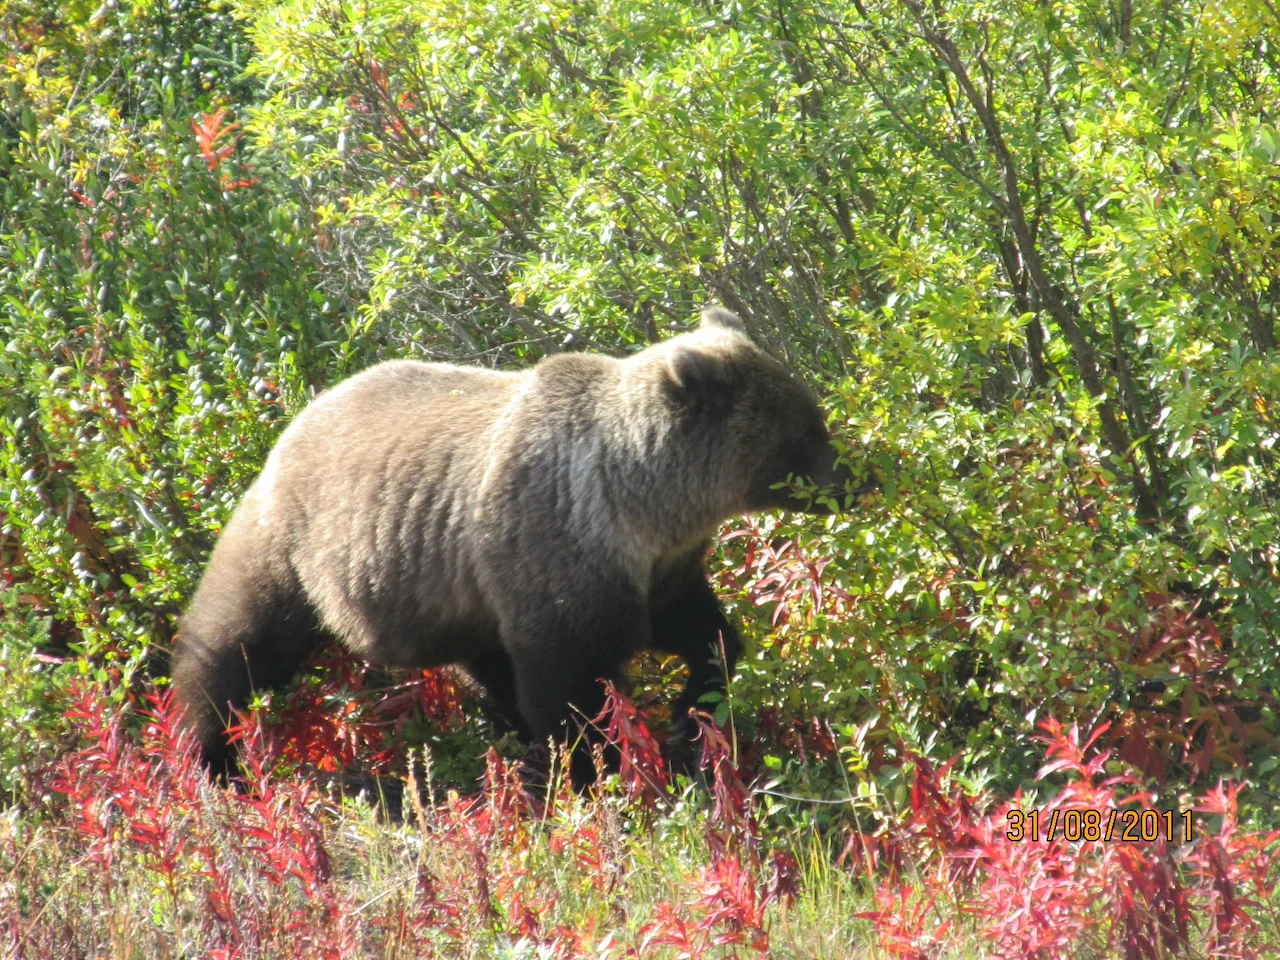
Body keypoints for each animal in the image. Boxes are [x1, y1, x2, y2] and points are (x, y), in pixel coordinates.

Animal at [170, 312, 865, 783]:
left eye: (815, 416)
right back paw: (208, 756)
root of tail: (294, 422)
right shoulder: (558, 553)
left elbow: (703, 634)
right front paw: (595, 771)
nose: (859, 481)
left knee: (486, 664)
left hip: (448, 595)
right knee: (235, 646)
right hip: (290, 546)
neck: (644, 501)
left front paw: (692, 710)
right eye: (804, 434)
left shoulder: (658, 567)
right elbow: (568, 686)